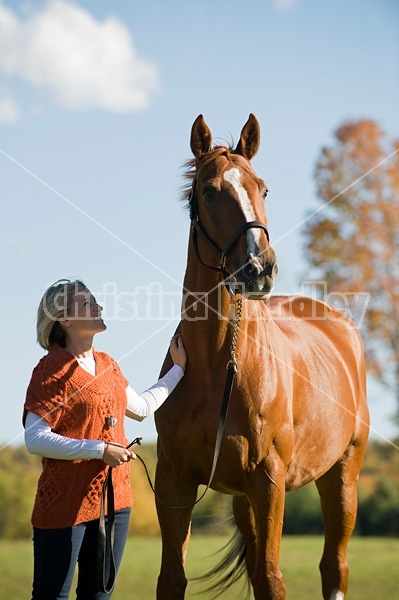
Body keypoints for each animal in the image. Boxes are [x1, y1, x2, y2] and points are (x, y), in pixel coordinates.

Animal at [154, 113, 372, 600]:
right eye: (209, 191)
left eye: (264, 188)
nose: (260, 268)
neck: (218, 368)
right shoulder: (175, 481)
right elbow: (173, 578)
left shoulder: (269, 482)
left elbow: (272, 580)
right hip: (242, 500)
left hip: (342, 479)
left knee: (335, 567)